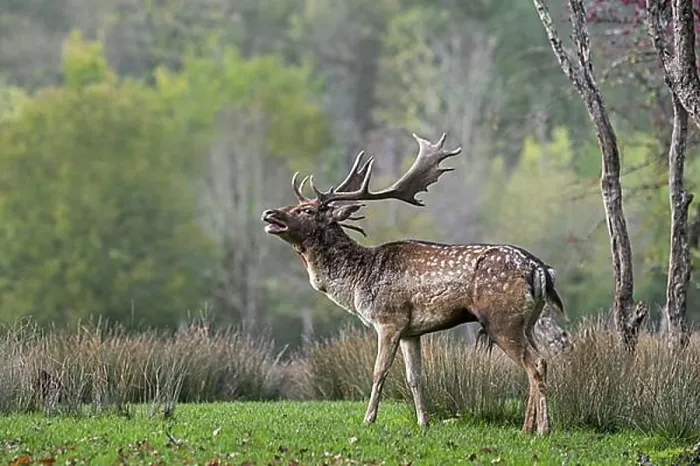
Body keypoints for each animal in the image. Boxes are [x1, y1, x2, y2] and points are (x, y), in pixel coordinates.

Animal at [261, 132, 565, 435]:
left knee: (536, 363)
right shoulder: (411, 331)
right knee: (537, 362)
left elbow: (379, 371)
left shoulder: (389, 319)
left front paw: (368, 419)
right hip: (528, 321)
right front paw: (423, 421)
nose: (269, 214)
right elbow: (414, 376)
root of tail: (540, 269)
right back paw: (526, 427)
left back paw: (543, 429)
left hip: (502, 318)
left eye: (307, 210)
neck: (359, 280)